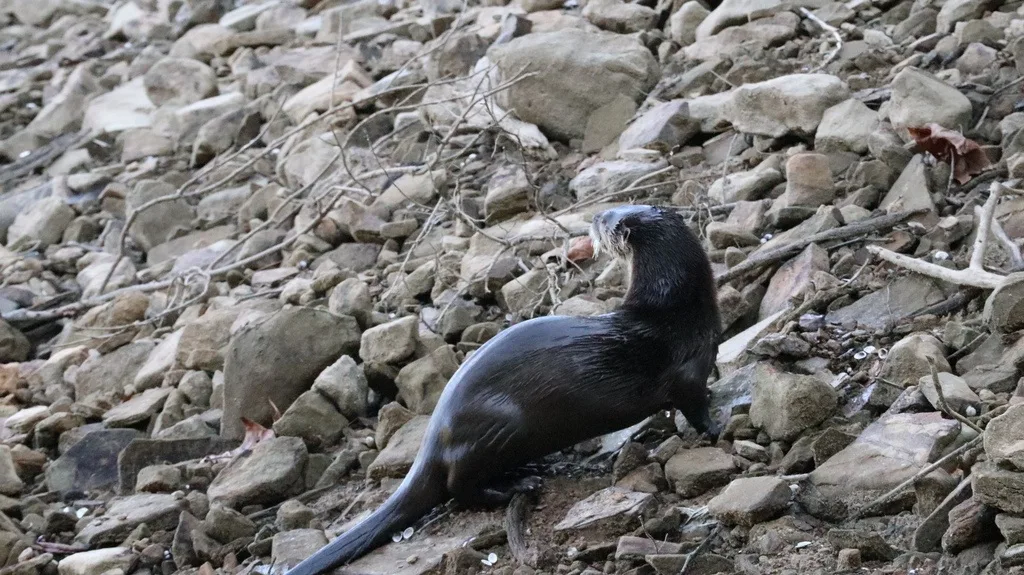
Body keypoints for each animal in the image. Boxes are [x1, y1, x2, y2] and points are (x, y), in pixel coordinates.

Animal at [286, 204, 722, 575]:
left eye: (610, 216)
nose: (595, 215)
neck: (679, 310)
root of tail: (435, 434)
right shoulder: (688, 370)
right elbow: (694, 404)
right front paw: (715, 428)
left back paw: (531, 470)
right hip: (502, 424)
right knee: (458, 487)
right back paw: (519, 486)